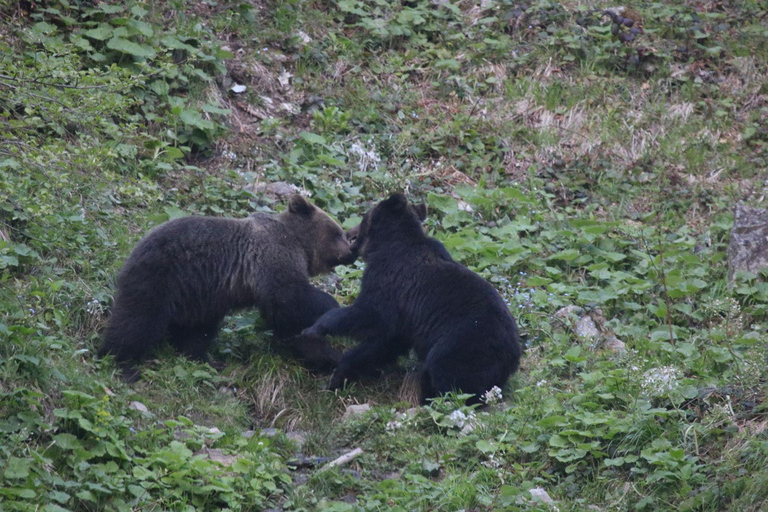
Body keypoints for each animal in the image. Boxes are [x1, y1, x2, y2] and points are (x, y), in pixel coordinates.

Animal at [98, 194, 356, 380]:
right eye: (338, 233)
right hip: (160, 278)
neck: (299, 244)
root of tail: (133, 250)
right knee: (139, 320)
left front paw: (327, 356)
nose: (352, 251)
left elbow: (291, 323)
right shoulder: (272, 256)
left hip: (197, 296)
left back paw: (207, 360)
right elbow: (289, 297)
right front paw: (330, 306)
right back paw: (121, 361)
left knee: (197, 330)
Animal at [303, 193, 522, 405]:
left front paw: (314, 328)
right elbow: (385, 343)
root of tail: (513, 355)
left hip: (464, 344)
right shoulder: (406, 318)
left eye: (364, 218)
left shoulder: (390, 280)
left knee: (448, 376)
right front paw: (340, 374)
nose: (348, 232)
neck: (386, 245)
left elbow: (371, 316)